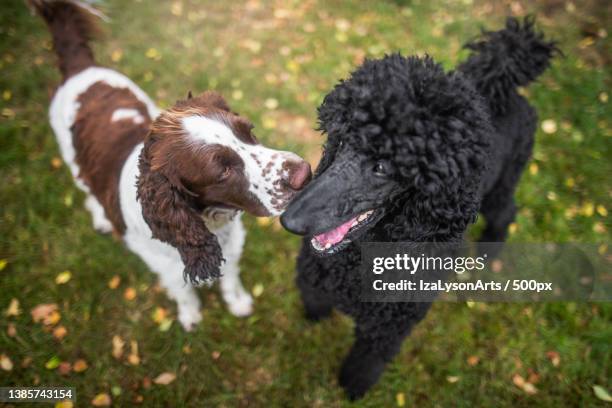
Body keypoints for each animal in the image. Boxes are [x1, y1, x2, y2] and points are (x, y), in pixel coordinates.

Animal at [31, 0, 310, 330]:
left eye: (249, 131)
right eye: (222, 171)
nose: (304, 173)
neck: (210, 222)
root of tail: (81, 68)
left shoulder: (232, 244)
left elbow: (231, 278)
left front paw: (238, 302)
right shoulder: (165, 265)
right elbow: (183, 291)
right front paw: (191, 317)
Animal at [282, 17, 560, 400]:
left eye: (382, 166)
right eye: (340, 141)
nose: (289, 220)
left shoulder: (388, 329)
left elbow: (366, 361)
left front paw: (352, 388)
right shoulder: (316, 280)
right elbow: (314, 301)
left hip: (505, 182)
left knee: (506, 213)